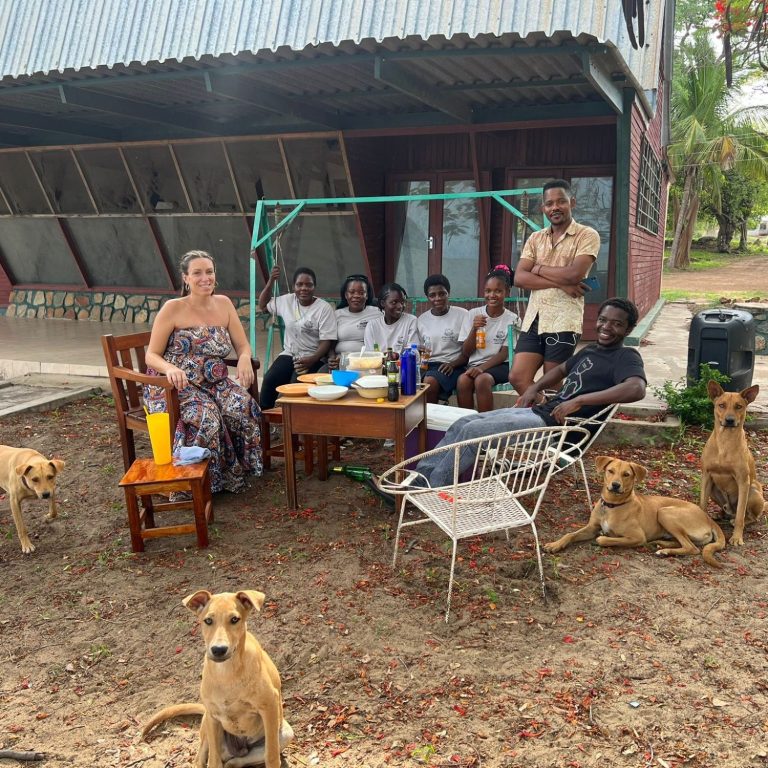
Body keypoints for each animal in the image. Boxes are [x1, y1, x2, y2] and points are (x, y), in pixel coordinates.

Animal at [142, 589, 293, 768]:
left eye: (234, 619)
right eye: (208, 620)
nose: (219, 650)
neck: (227, 673)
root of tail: (239, 748)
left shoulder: (269, 706)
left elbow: (271, 755)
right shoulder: (213, 716)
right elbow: (213, 761)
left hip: (285, 733)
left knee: (235, 762)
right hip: (208, 724)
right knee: (203, 757)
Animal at [544, 455, 726, 567]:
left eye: (626, 474)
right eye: (610, 471)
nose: (615, 485)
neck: (612, 506)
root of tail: (708, 517)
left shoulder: (637, 537)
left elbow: (603, 539)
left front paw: (605, 537)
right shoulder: (591, 527)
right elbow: (570, 534)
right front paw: (555, 545)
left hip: (665, 512)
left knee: (692, 548)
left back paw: (664, 550)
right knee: (683, 542)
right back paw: (662, 545)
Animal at [701, 381, 767, 547]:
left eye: (739, 406)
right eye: (721, 405)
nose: (730, 420)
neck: (725, 441)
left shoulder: (743, 482)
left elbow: (740, 516)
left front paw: (737, 537)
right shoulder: (706, 476)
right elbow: (702, 504)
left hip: (754, 490)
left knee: (750, 517)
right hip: (714, 490)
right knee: (727, 511)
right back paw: (720, 514)